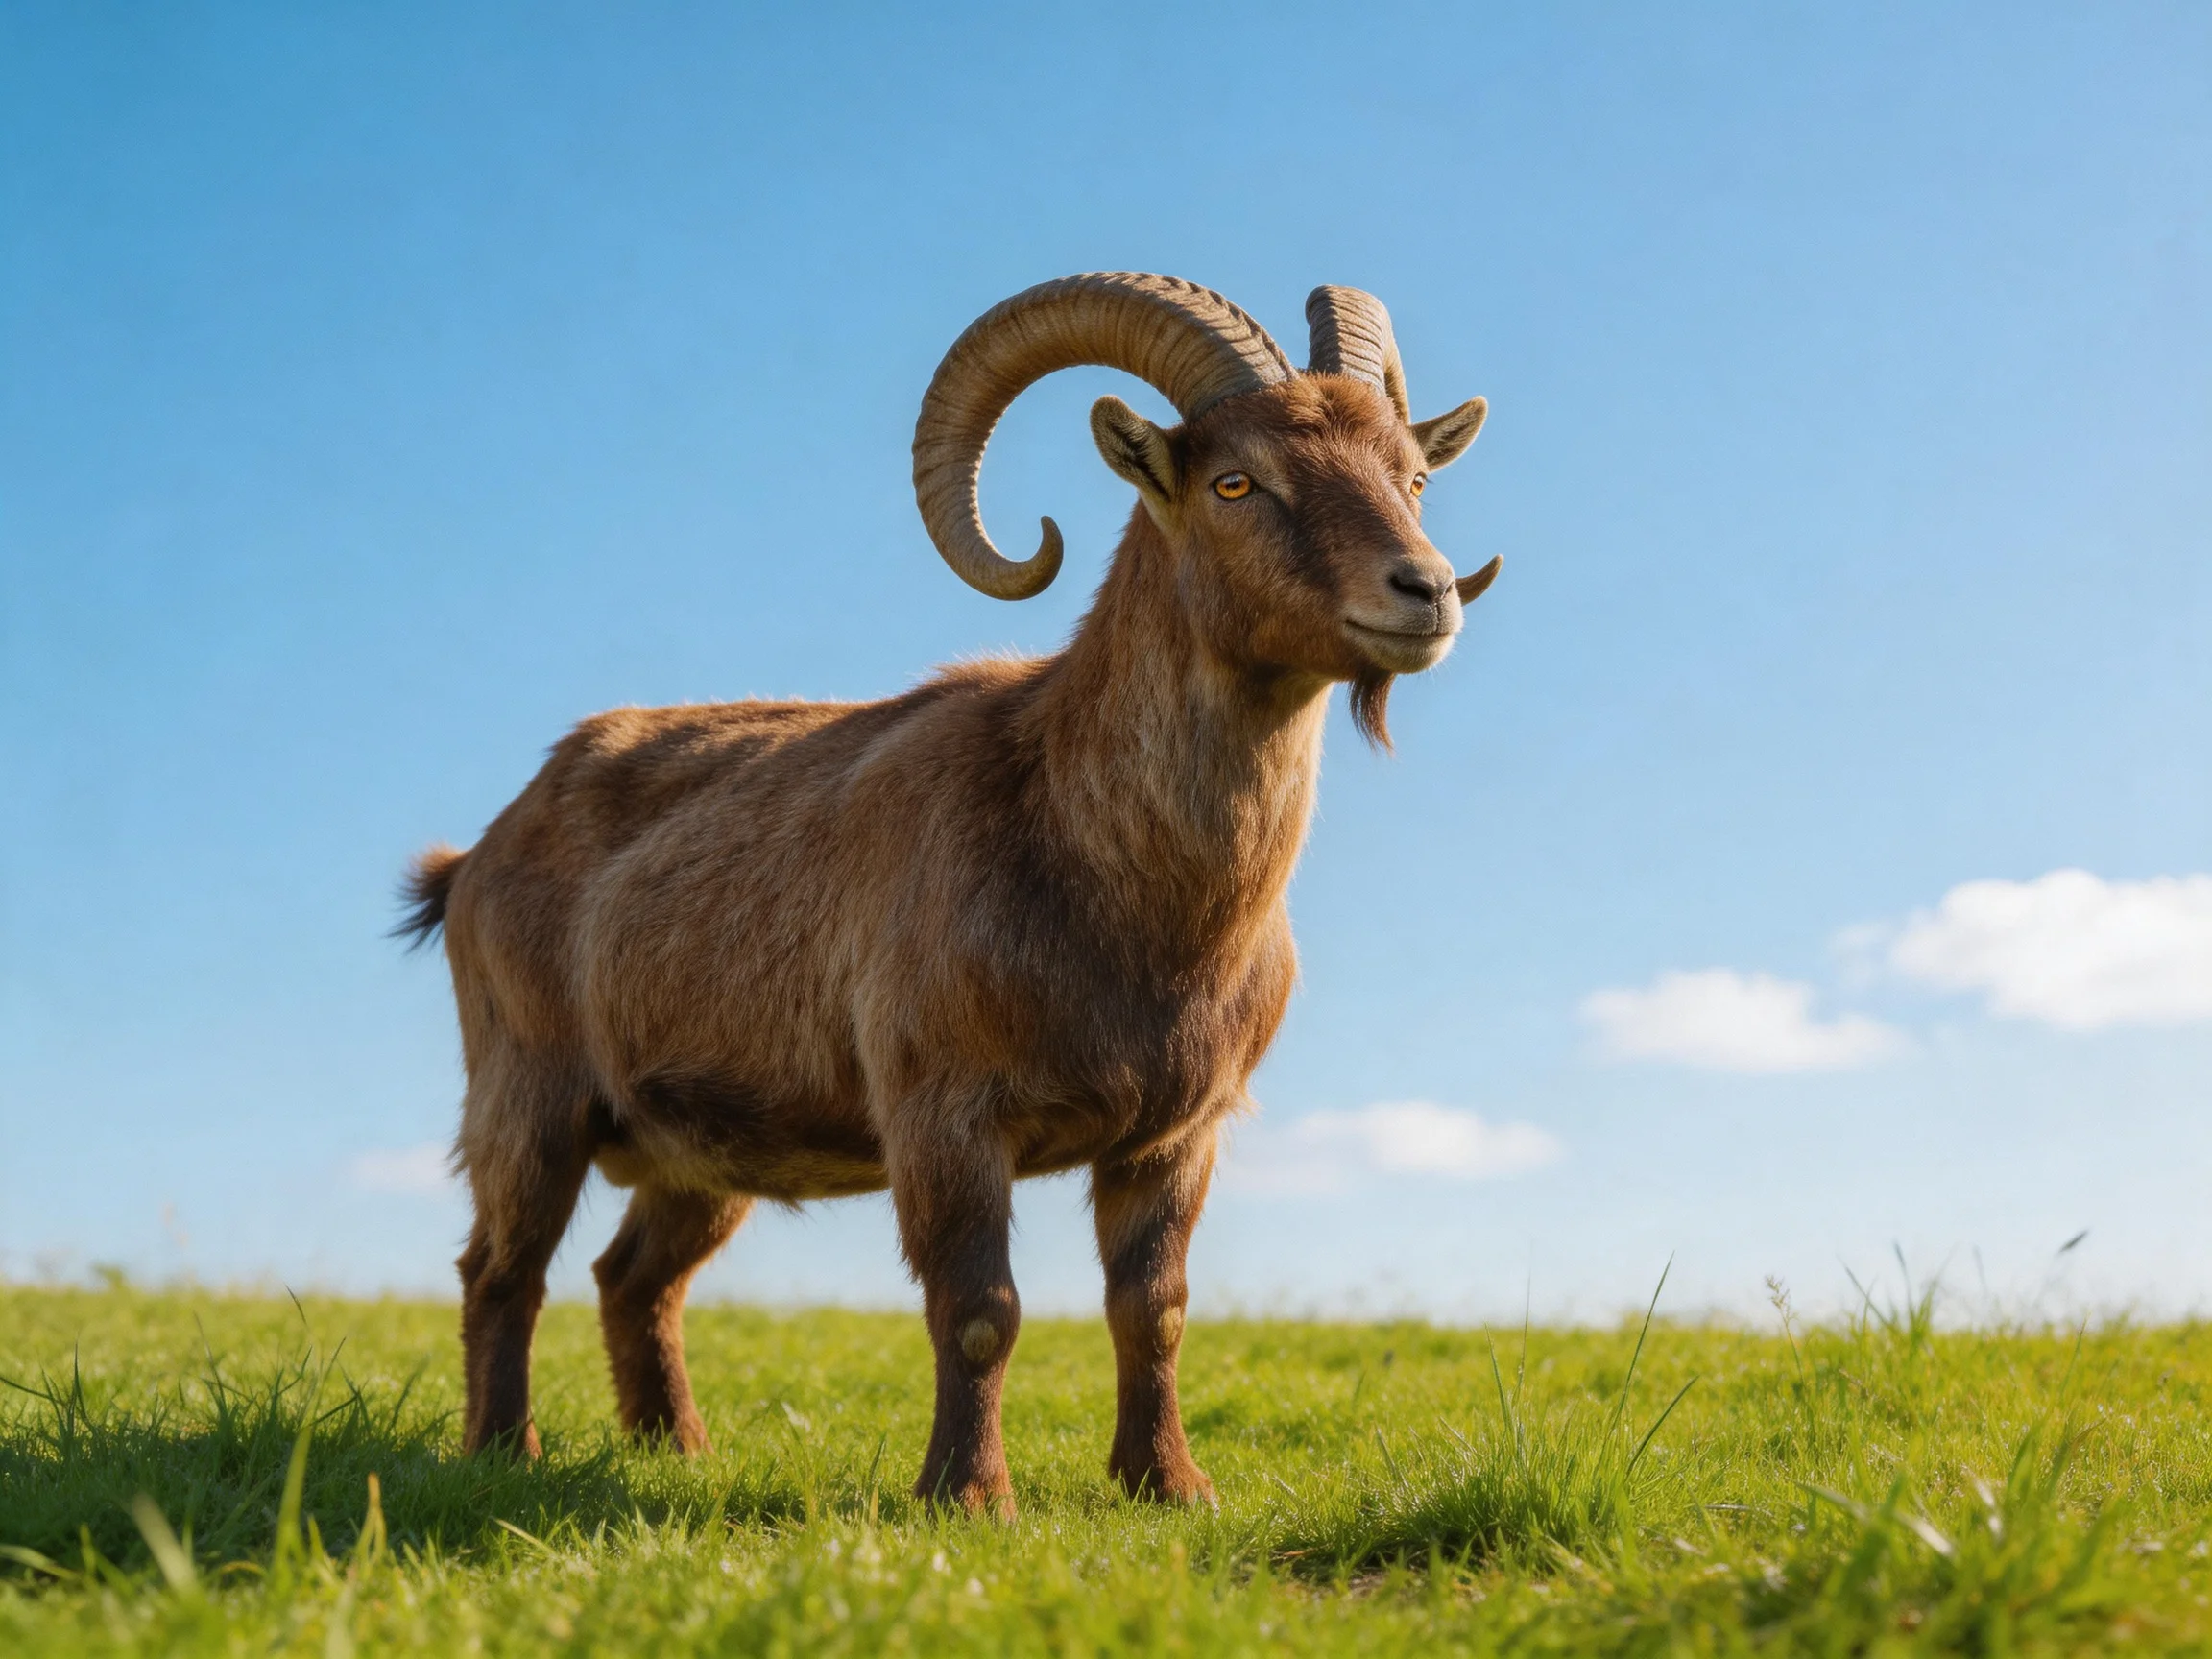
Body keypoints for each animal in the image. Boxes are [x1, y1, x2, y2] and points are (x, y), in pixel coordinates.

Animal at [400, 273, 1500, 1515]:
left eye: (1413, 477)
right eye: (1236, 481)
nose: (1426, 591)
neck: (1115, 887)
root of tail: (472, 860)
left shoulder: (1174, 1135)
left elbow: (1153, 1309)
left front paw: (1168, 1485)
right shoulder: (945, 1113)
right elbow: (980, 1309)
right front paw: (970, 1497)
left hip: (702, 1151)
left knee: (632, 1276)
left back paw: (674, 1449)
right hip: (527, 1095)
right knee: (502, 1268)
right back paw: (503, 1452)